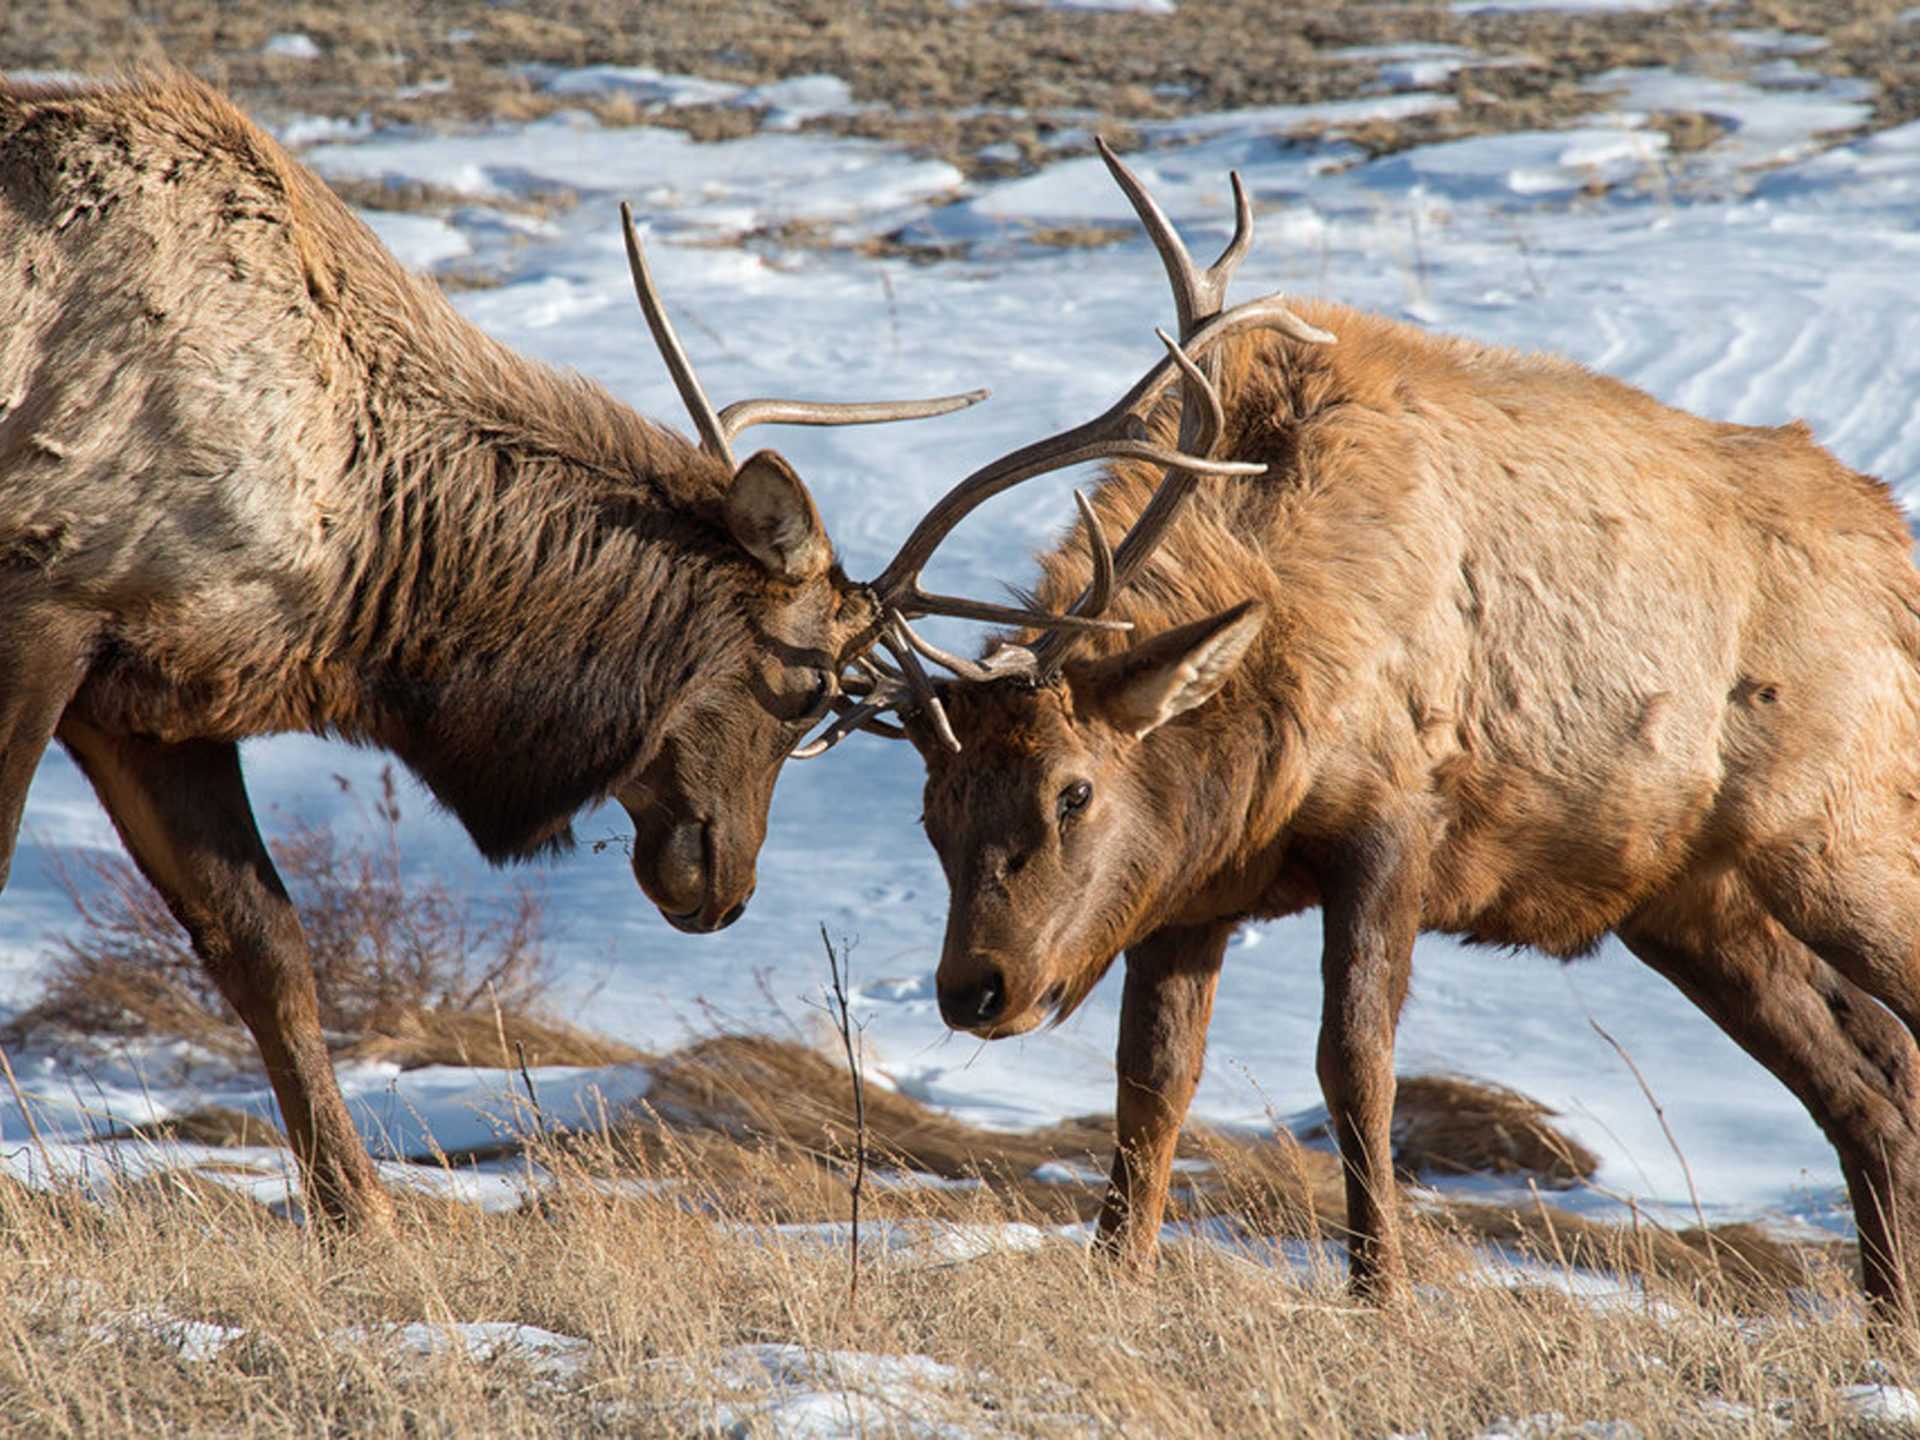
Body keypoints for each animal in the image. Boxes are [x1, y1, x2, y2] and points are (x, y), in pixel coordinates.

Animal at [890, 141, 1920, 1328]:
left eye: (1074, 789)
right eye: (931, 811)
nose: (975, 988)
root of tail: (1898, 551)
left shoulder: (1392, 824)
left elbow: (1355, 1067)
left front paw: (1381, 1294)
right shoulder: (1190, 893)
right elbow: (1152, 1085)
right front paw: (1117, 1274)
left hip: (1840, 833)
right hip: (1694, 897)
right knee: (1871, 1077)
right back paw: (1885, 1324)